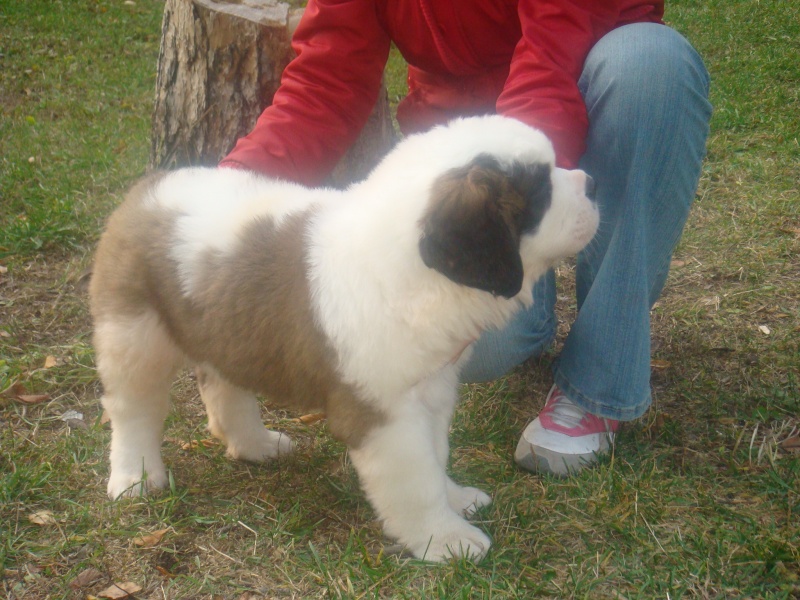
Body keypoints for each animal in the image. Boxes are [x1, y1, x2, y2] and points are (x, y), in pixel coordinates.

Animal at [89, 115, 599, 562]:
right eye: (540, 191)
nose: (591, 182)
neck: (411, 269)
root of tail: (150, 188)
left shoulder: (431, 389)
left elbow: (436, 456)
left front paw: (455, 499)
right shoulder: (386, 414)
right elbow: (416, 479)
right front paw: (446, 539)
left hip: (224, 324)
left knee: (223, 386)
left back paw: (255, 445)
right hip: (134, 336)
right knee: (133, 410)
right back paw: (135, 476)